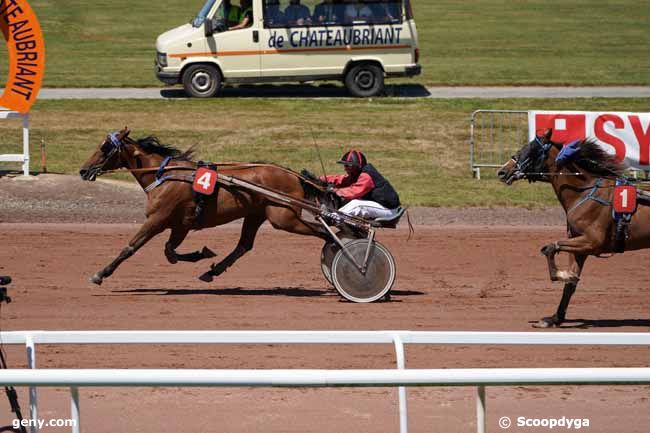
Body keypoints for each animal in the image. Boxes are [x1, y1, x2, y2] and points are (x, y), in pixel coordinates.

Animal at [78, 126, 330, 286]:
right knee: (244, 245)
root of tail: (294, 175)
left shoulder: (157, 219)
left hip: (283, 218)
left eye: (104, 148)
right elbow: (170, 251)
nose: (83, 170)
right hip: (256, 214)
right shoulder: (180, 225)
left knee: (323, 232)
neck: (164, 176)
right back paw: (213, 271)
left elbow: (131, 247)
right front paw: (202, 253)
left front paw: (100, 274)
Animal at [496, 128, 648, 328]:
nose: (502, 171)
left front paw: (561, 274)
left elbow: (549, 248)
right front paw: (554, 318)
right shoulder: (580, 245)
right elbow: (570, 286)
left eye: (529, 149)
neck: (584, 192)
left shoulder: (593, 241)